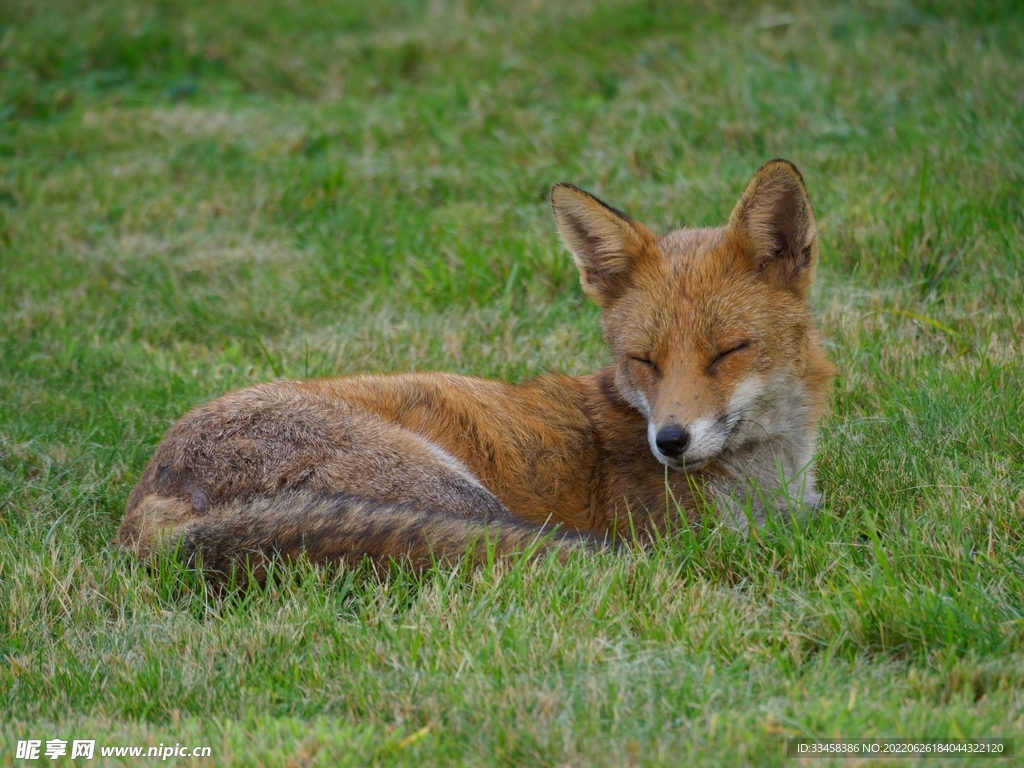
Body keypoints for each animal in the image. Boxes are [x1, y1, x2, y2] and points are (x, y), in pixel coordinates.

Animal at [116, 157, 835, 577]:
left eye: (726, 352)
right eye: (644, 361)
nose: (671, 442)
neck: (765, 481)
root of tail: (148, 503)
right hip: (457, 495)